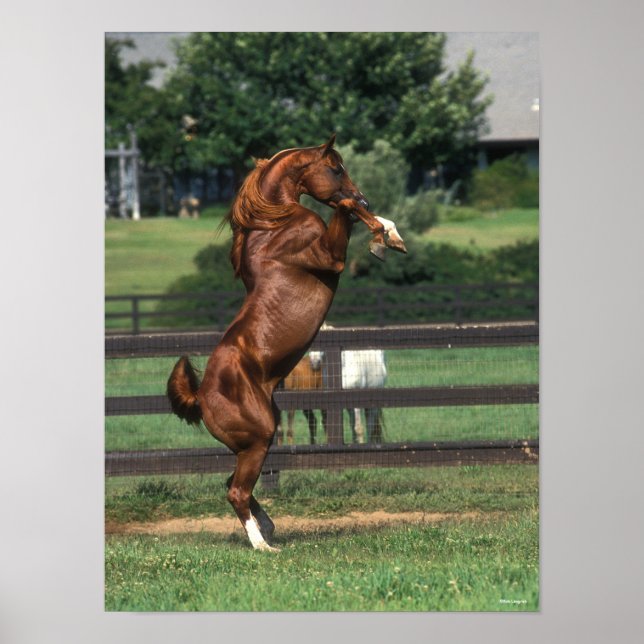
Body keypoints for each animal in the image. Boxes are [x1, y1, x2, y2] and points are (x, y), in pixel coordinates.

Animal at [166, 135, 406, 551]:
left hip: (256, 442)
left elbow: (359, 216)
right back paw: (263, 546)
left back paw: (268, 528)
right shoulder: (329, 255)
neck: (274, 227)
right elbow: (344, 211)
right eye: (336, 169)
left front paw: (390, 236)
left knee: (235, 485)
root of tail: (200, 396)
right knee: (237, 491)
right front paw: (380, 236)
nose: (364, 196)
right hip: (259, 438)